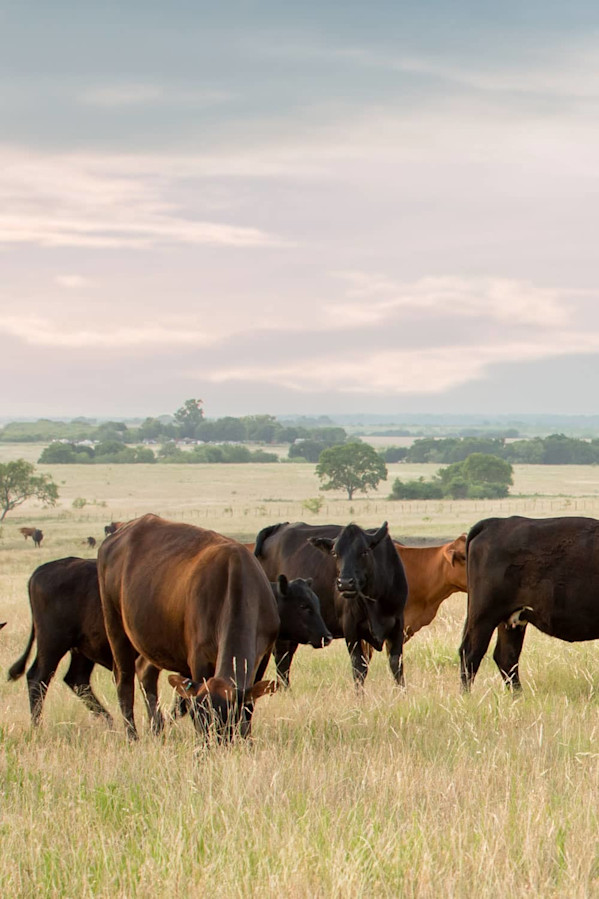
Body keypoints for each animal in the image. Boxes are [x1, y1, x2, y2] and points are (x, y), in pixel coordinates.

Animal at [7, 557, 161, 726]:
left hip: (82, 649)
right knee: (38, 679)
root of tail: (40, 571)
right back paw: (37, 726)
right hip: (53, 644)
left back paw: (109, 721)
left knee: (76, 678)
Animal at [98, 514, 280, 741]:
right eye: (201, 717)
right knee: (124, 680)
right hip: (114, 624)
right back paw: (132, 736)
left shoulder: (263, 656)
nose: (216, 743)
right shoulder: (199, 658)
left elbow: (249, 706)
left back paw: (157, 729)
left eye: (229, 719)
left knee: (145, 672)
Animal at [459, 515, 599, 692]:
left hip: (511, 620)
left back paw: (519, 695)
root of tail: (495, 522)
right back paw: (466, 696)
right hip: (484, 616)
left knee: (506, 657)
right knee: (471, 654)